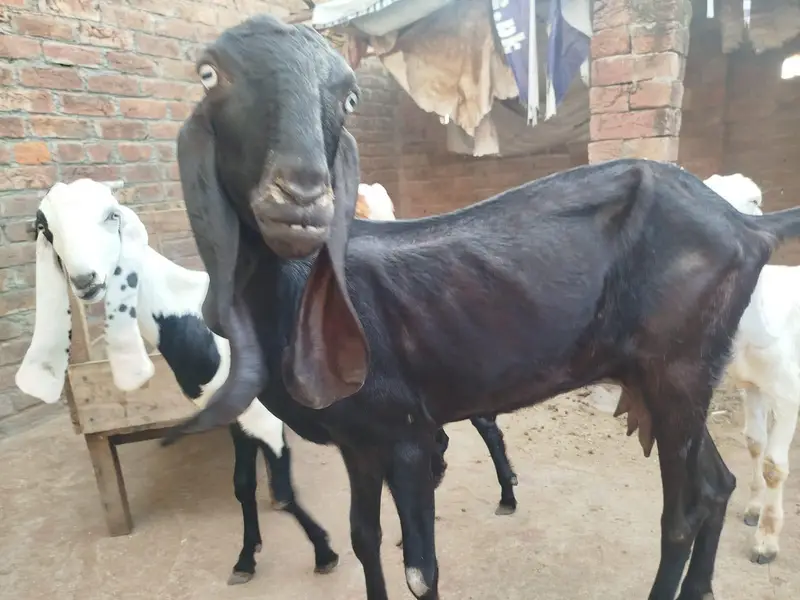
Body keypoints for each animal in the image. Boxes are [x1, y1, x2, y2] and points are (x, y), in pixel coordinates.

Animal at [15, 179, 339, 585]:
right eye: (45, 228)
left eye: (111, 215)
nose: (86, 281)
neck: (197, 319)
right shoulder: (235, 417)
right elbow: (242, 485)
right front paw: (245, 560)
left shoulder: (266, 419)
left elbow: (283, 494)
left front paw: (325, 552)